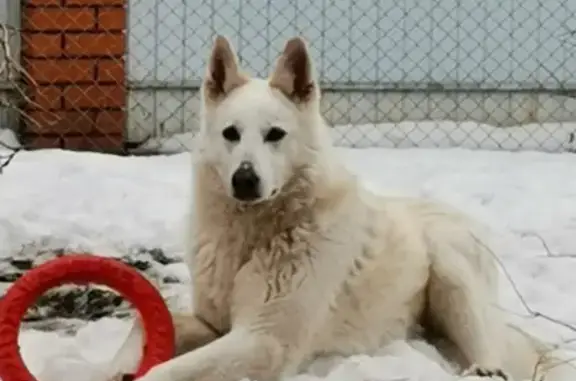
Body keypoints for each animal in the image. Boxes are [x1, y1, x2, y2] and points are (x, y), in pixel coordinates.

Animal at [137, 36, 560, 380]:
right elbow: (141, 335)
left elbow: (164, 372)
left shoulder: (265, 341)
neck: (254, 235)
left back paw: (486, 371)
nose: (244, 180)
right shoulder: (211, 324)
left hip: (451, 274)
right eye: (231, 134)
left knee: (491, 349)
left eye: (275, 135)